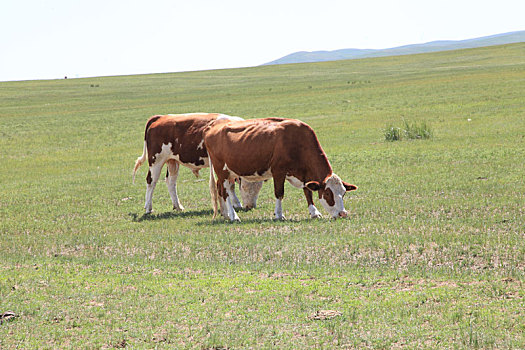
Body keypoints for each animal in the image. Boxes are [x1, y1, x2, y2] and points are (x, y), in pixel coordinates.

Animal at [131, 113, 262, 215]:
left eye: (259, 187)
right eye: (244, 186)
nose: (250, 206)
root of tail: (161, 117)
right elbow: (229, 185)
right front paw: (236, 203)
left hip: (172, 161)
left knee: (170, 182)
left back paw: (178, 206)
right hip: (156, 160)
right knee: (151, 181)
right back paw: (148, 208)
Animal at [205, 117, 356, 221]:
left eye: (343, 193)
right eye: (328, 194)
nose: (343, 213)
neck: (298, 142)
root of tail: (212, 128)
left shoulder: (305, 176)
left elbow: (307, 192)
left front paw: (314, 212)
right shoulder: (278, 171)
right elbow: (279, 193)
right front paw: (279, 214)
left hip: (228, 173)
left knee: (220, 189)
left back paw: (225, 214)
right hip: (222, 171)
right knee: (225, 192)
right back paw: (233, 216)